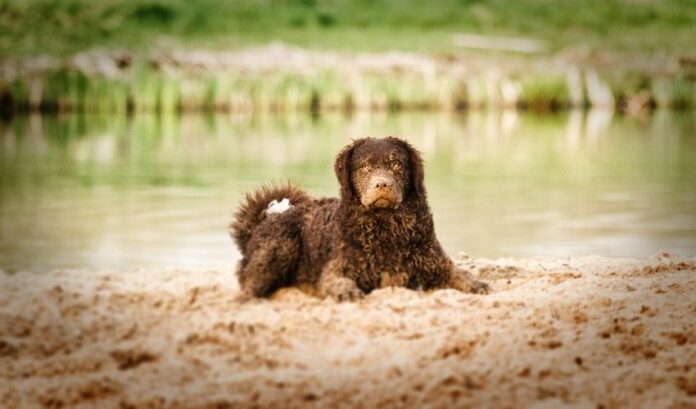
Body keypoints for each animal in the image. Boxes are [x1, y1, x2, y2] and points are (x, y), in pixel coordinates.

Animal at [230, 137, 490, 300]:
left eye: (397, 164)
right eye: (364, 167)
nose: (382, 184)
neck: (387, 229)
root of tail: (260, 225)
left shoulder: (435, 263)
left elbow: (459, 274)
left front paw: (475, 283)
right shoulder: (337, 268)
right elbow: (338, 281)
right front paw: (346, 291)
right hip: (281, 245)